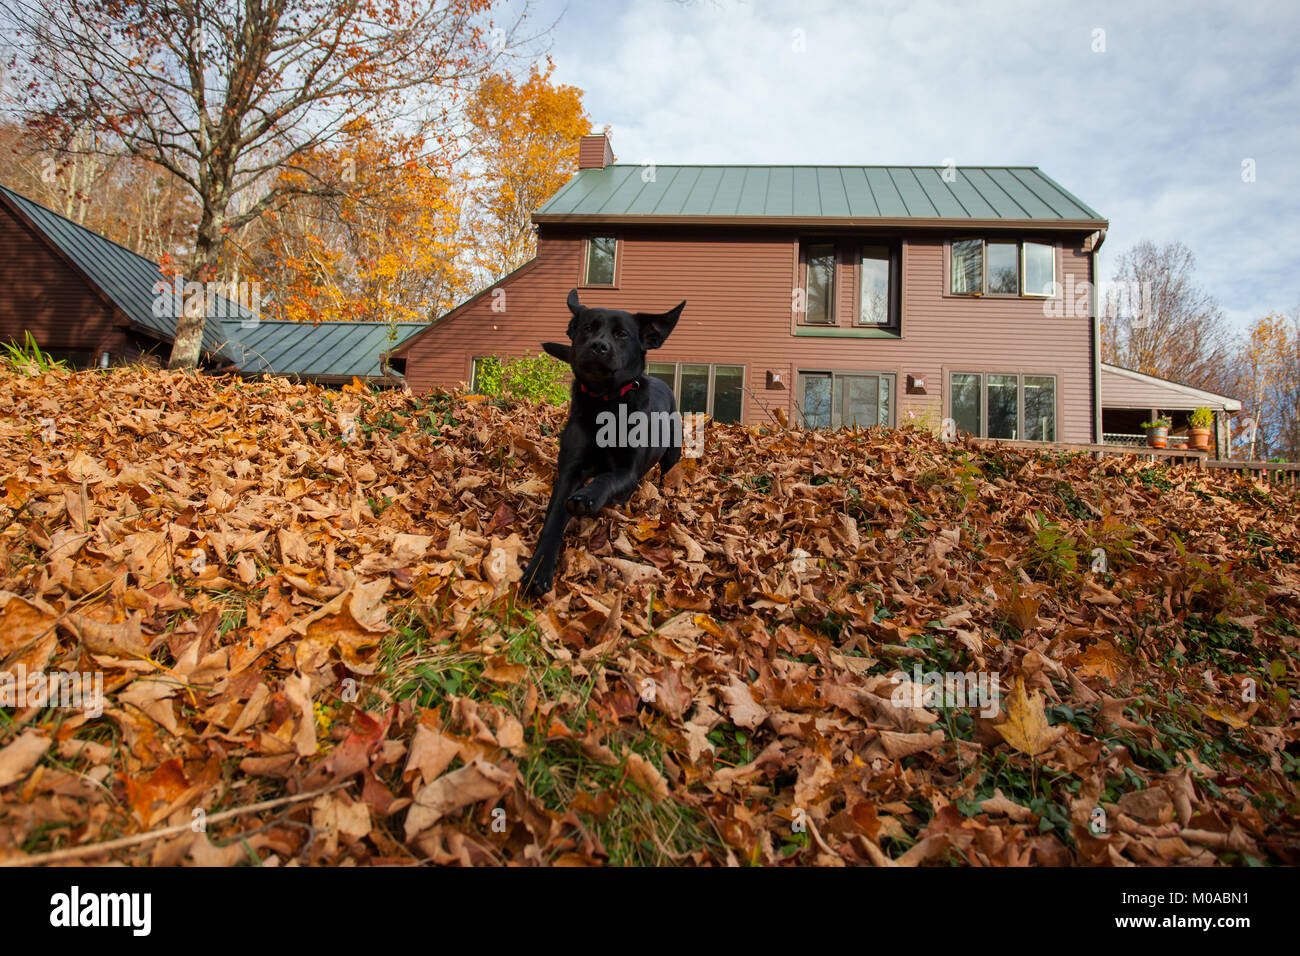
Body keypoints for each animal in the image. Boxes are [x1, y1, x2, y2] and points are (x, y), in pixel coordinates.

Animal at [517, 287, 686, 595]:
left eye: (621, 334)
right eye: (587, 328)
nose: (598, 346)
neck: (605, 403)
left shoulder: (627, 473)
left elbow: (607, 478)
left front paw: (588, 496)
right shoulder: (569, 470)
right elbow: (554, 519)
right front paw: (539, 569)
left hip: (671, 454)